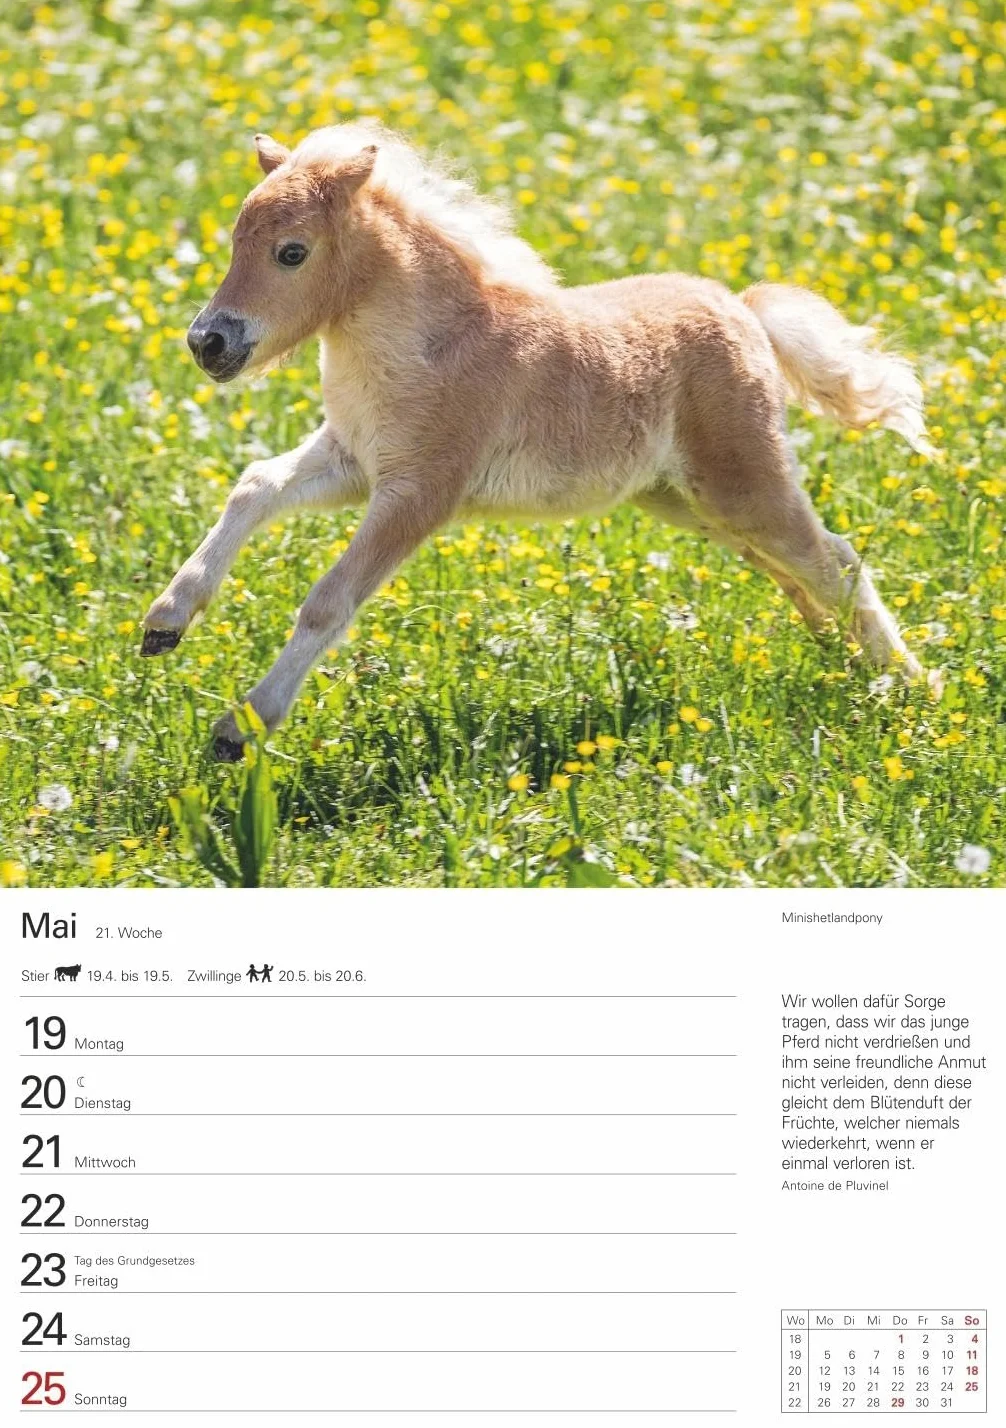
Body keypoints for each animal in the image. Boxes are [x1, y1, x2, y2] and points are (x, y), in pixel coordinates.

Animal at [141, 122, 939, 760]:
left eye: (292, 252)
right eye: (234, 241)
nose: (208, 343)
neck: (427, 344)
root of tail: (743, 310)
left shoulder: (421, 490)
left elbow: (328, 601)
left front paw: (241, 726)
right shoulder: (355, 461)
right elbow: (255, 484)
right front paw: (166, 622)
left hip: (743, 481)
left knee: (833, 559)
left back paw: (915, 688)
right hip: (683, 500)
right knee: (797, 571)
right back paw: (848, 663)